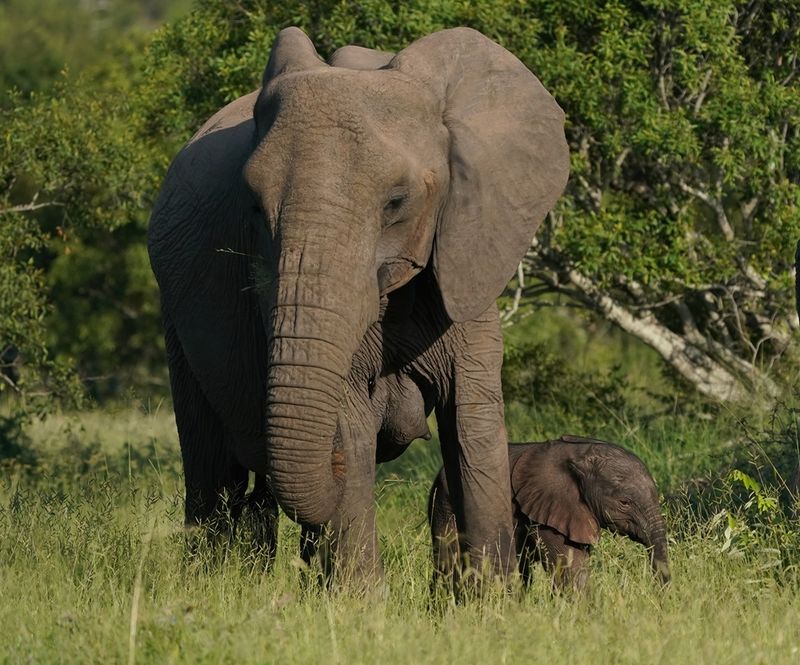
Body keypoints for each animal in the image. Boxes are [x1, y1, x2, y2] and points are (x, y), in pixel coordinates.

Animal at [147, 26, 569, 584]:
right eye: (254, 208)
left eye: (396, 202)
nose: (333, 464)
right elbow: (347, 417)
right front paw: (359, 600)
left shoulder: (468, 251)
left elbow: (473, 422)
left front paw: (493, 595)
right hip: (175, 314)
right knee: (214, 470)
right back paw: (215, 581)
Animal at [429, 436, 671, 591]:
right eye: (624, 503)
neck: (580, 455)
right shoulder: (548, 507)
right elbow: (572, 566)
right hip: (444, 503)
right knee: (449, 561)